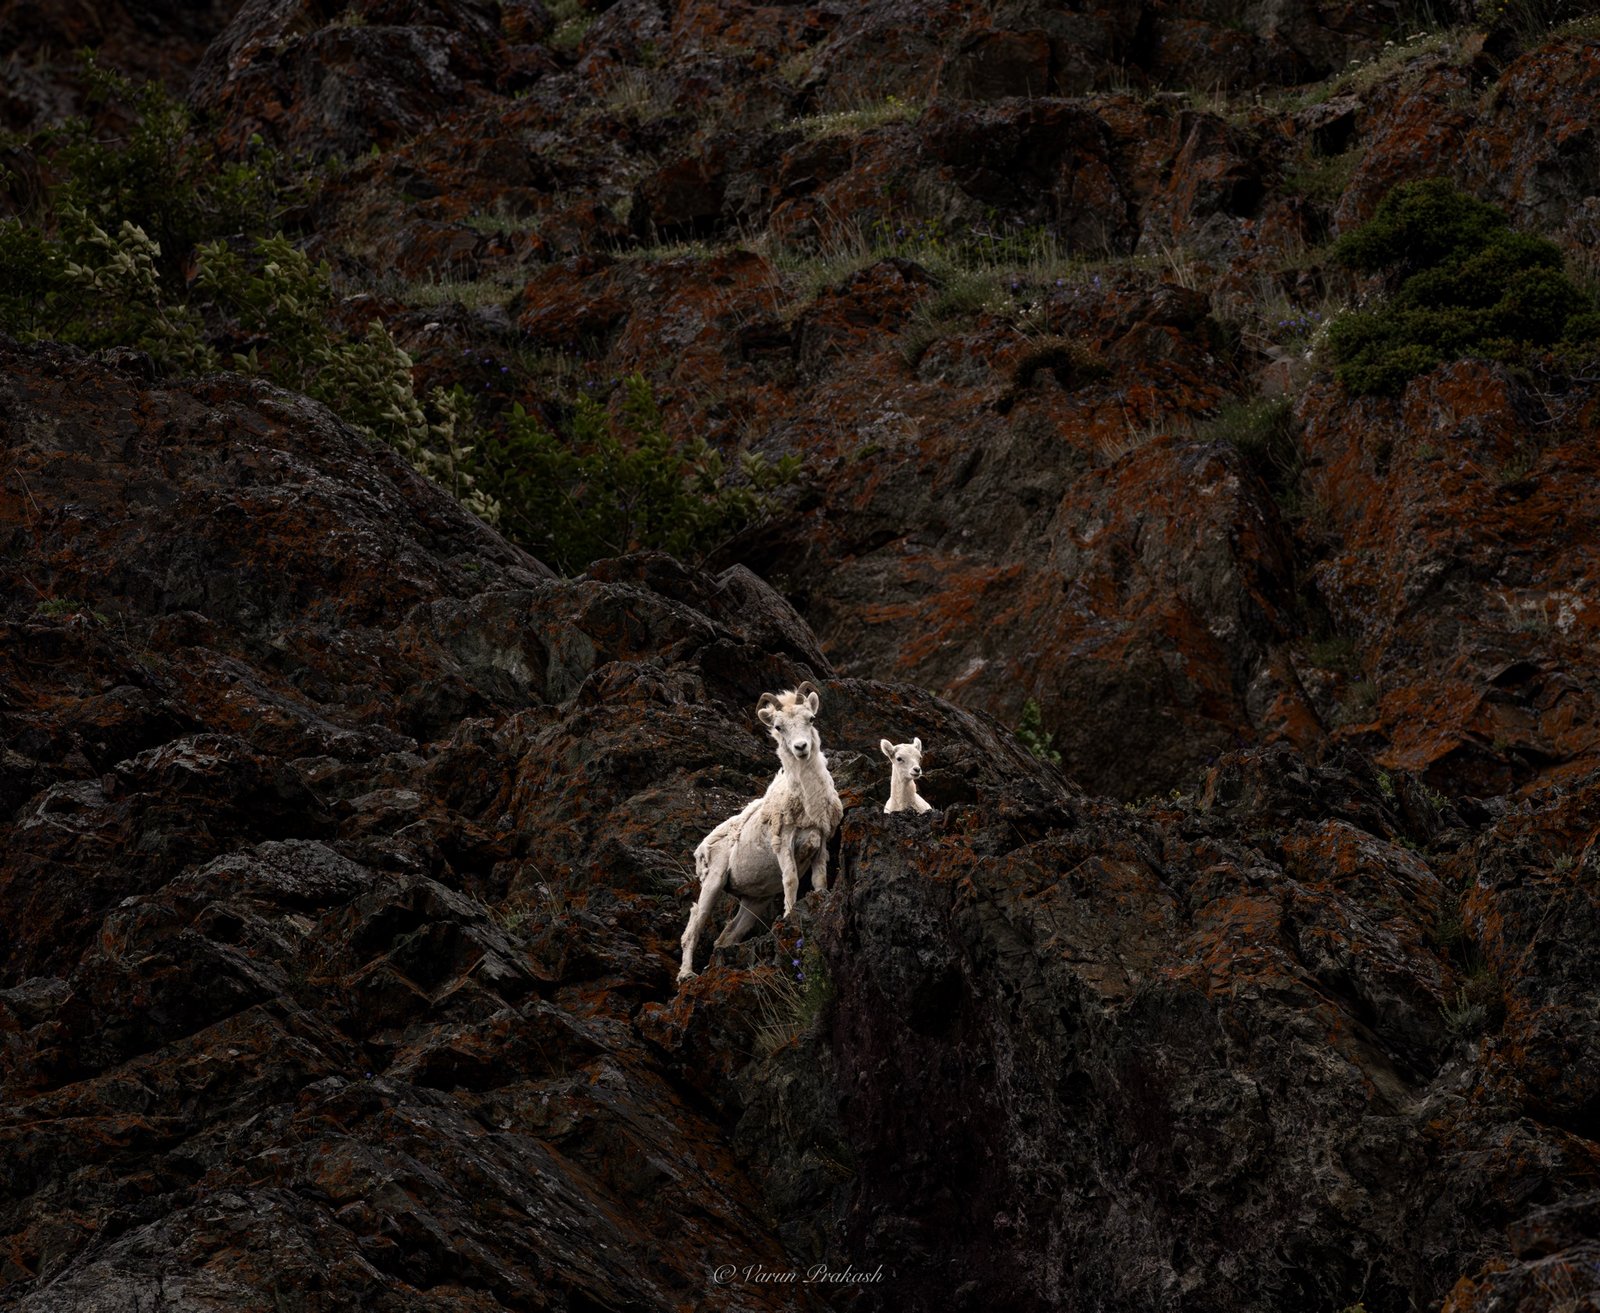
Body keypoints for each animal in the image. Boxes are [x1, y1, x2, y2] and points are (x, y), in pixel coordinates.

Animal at [678, 682, 843, 982]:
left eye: (810, 719)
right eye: (778, 727)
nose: (801, 748)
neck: (807, 801)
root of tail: (702, 848)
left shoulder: (822, 841)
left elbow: (819, 881)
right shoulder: (783, 842)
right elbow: (791, 881)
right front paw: (789, 917)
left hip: (754, 902)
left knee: (726, 936)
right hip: (713, 882)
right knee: (693, 928)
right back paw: (686, 975)